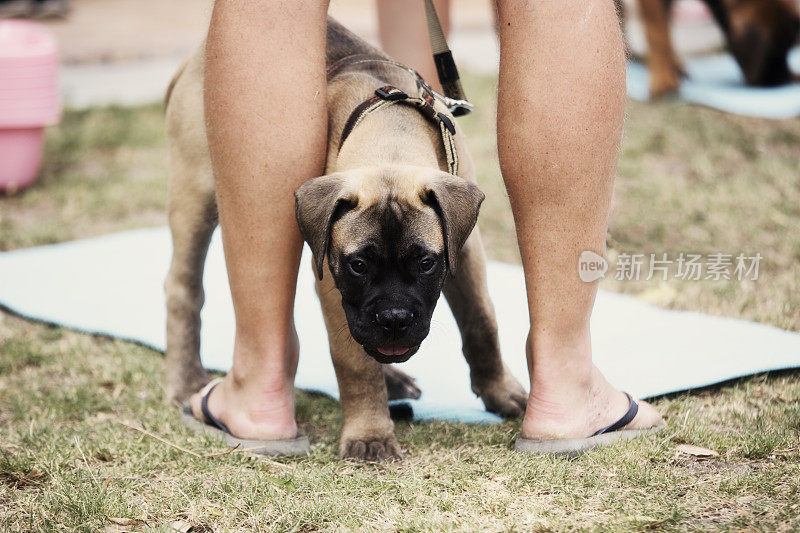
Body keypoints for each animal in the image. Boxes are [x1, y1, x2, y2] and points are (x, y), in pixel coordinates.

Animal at [162, 18, 524, 460]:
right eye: (359, 265)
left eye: (426, 264)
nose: (394, 320)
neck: (391, 145)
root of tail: (197, 53)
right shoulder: (333, 283)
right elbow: (354, 362)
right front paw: (370, 435)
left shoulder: (465, 249)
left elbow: (481, 322)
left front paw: (500, 391)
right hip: (196, 194)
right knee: (183, 289)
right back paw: (185, 379)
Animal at [628, 0, 796, 97]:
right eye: (772, 55)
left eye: (788, 49)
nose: (784, 81)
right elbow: (657, 29)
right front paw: (663, 78)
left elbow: (666, 25)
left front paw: (673, 65)